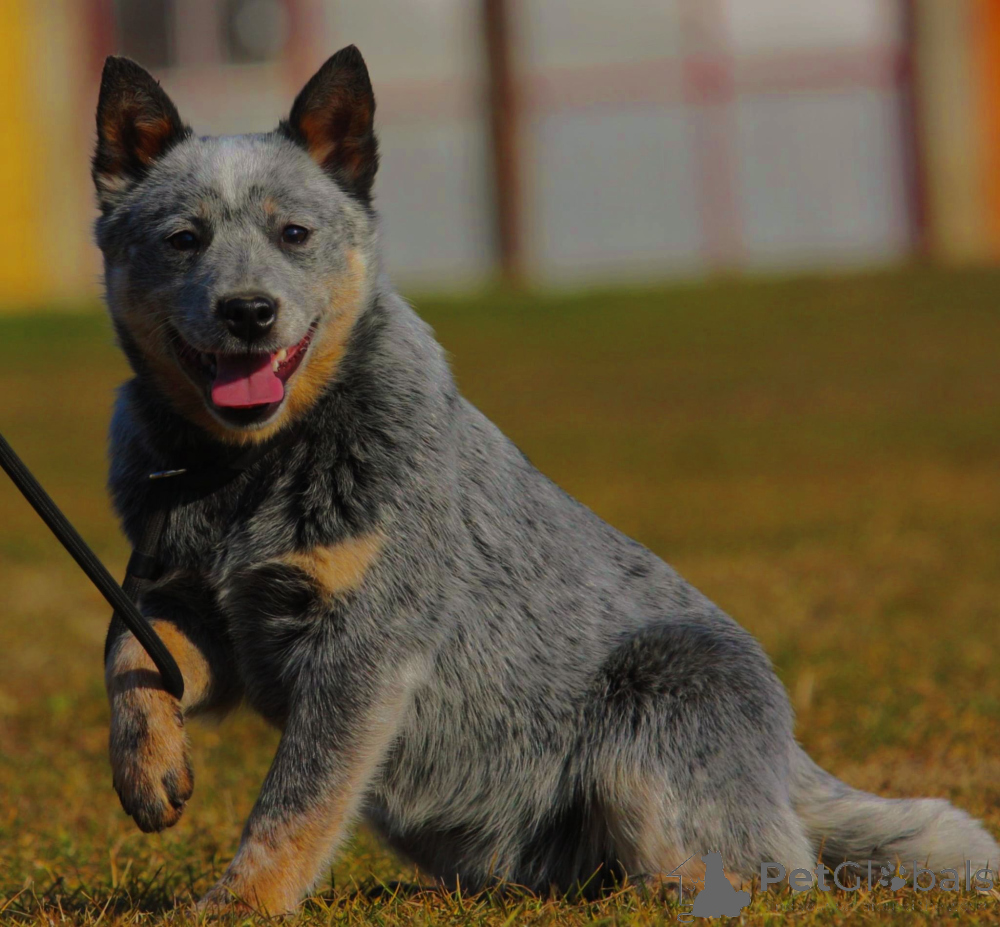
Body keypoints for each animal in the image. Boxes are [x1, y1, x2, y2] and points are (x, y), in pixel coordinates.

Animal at [94, 47, 999, 913]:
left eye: (293, 231)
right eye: (184, 238)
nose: (249, 310)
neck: (246, 468)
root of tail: (788, 755)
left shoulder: (363, 649)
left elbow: (296, 802)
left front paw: (240, 901)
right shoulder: (201, 608)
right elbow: (130, 650)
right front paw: (148, 769)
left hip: (662, 696)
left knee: (769, 869)